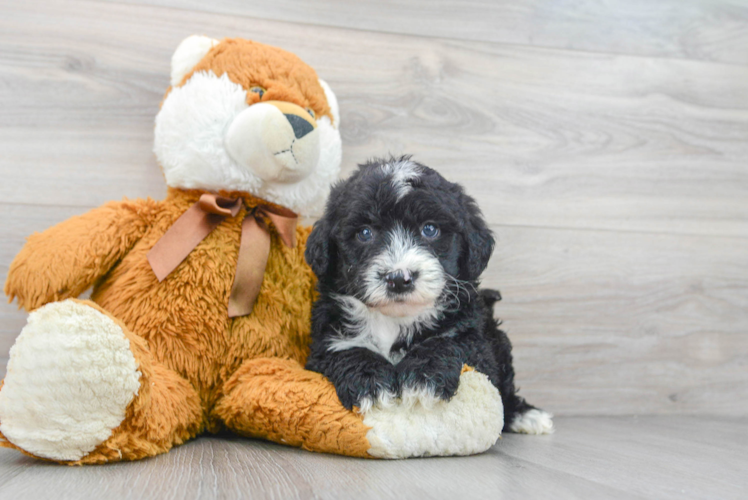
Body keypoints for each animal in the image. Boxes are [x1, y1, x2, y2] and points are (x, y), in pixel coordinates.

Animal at [304, 156, 556, 434]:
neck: (395, 320)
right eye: (365, 233)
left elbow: (444, 343)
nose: (399, 278)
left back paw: (525, 415)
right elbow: (348, 350)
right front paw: (372, 384)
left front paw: (423, 379)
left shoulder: (474, 342)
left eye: (430, 229)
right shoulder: (325, 343)